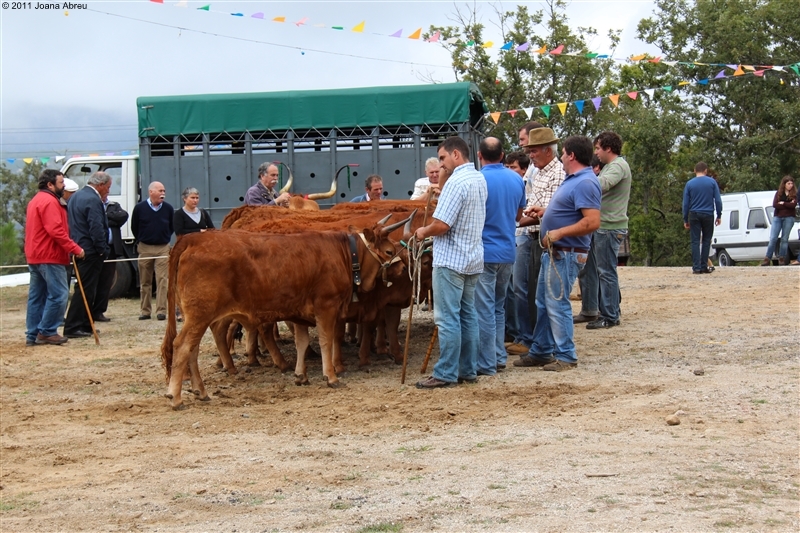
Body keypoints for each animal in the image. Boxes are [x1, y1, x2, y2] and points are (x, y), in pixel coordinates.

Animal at [164, 218, 412, 410]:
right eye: (389, 251)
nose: (402, 268)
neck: (342, 253)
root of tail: (192, 239)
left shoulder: (299, 314)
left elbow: (302, 343)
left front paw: (300, 375)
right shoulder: (327, 307)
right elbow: (326, 341)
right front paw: (331, 376)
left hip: (198, 317)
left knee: (193, 349)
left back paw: (201, 391)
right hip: (200, 315)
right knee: (182, 346)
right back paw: (176, 397)